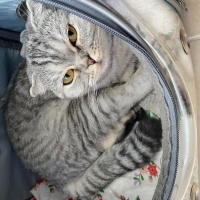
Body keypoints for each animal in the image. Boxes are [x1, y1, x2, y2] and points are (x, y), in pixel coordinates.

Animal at [3, 0, 162, 198]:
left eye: (71, 33)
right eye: (67, 76)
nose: (89, 61)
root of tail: (62, 183)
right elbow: (133, 89)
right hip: (90, 111)